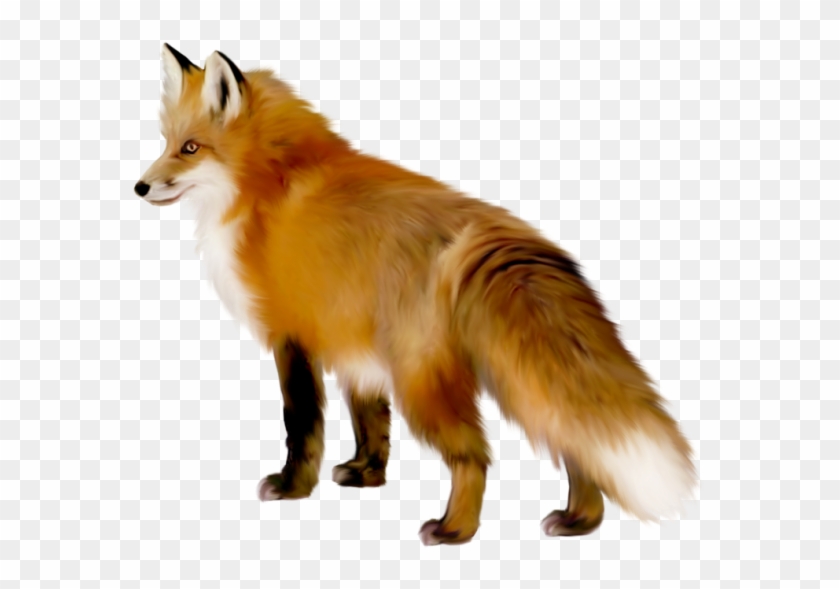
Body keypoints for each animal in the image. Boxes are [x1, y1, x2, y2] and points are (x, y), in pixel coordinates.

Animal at [136, 44, 696, 545]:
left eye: (190, 148)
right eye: (165, 142)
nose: (139, 187)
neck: (268, 183)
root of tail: (501, 237)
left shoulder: (291, 334)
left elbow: (301, 424)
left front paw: (293, 487)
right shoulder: (353, 346)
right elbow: (370, 421)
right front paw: (366, 474)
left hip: (421, 379)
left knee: (475, 455)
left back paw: (455, 530)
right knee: (573, 442)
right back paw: (580, 521)